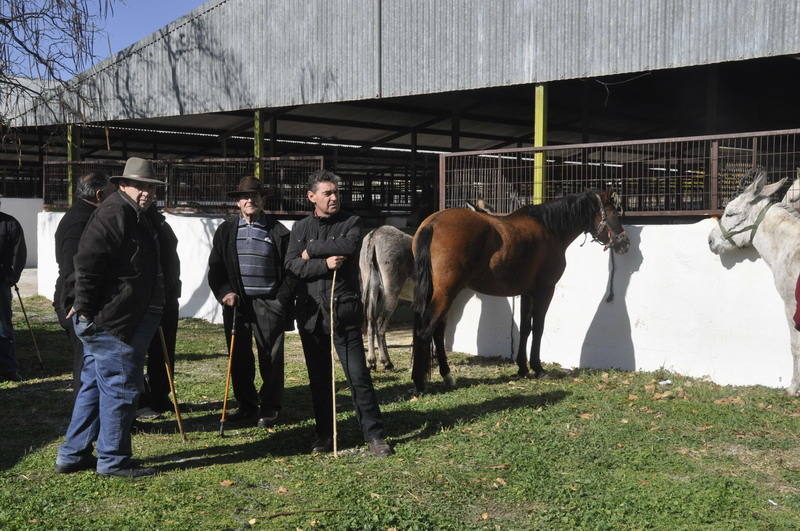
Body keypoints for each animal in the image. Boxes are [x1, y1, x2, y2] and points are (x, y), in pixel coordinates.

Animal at [412, 191, 632, 394]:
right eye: (614, 213)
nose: (625, 243)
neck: (549, 228)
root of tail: (433, 223)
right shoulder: (545, 291)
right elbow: (538, 327)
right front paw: (538, 368)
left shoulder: (527, 292)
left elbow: (526, 327)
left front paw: (522, 368)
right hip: (447, 292)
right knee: (425, 332)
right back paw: (420, 384)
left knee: (436, 332)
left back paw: (447, 376)